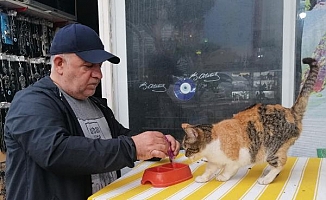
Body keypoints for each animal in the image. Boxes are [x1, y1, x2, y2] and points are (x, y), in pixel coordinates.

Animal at [182, 57, 322, 184]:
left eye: (187, 147)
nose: (185, 155)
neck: (213, 142)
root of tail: (290, 111)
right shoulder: (213, 161)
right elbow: (209, 170)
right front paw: (203, 178)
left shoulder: (236, 159)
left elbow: (229, 169)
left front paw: (222, 176)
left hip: (272, 149)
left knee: (281, 163)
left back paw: (267, 179)